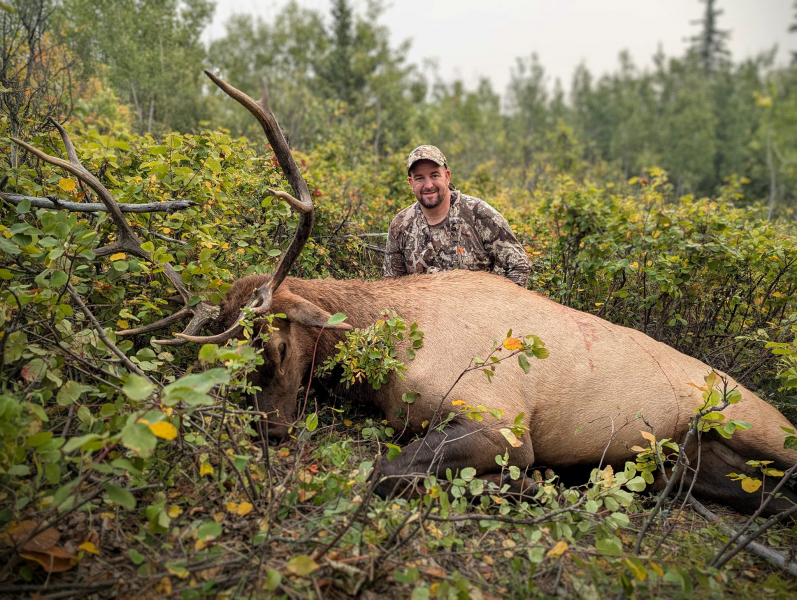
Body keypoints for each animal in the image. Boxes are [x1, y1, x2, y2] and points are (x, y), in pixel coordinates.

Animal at [15, 72, 797, 516]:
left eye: (274, 343)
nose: (268, 427)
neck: (389, 348)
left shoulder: (502, 423)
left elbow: (387, 472)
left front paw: (523, 485)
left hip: (756, 424)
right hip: (705, 455)